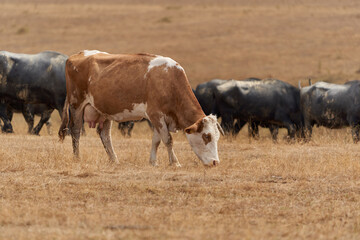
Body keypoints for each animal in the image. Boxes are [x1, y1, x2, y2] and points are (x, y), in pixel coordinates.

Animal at [58, 50, 222, 167]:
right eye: (207, 136)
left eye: (217, 137)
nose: (215, 162)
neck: (168, 81)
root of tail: (77, 55)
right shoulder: (156, 115)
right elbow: (168, 139)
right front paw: (175, 162)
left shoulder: (157, 119)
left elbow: (156, 140)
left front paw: (153, 162)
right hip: (76, 104)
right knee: (76, 131)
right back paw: (77, 157)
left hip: (105, 111)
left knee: (105, 135)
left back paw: (114, 159)